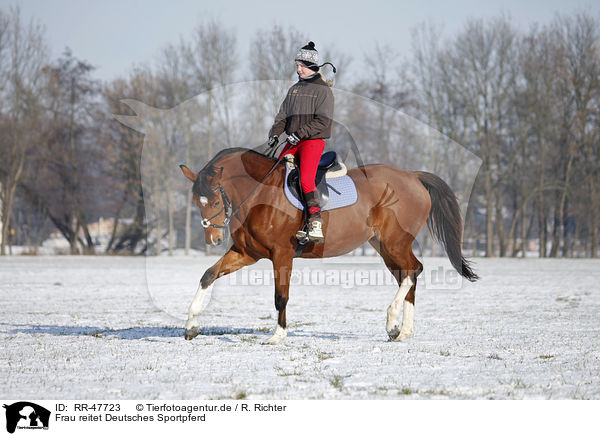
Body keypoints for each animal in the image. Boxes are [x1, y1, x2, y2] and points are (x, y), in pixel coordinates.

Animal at [178, 148, 478, 346]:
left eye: (215, 202)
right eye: (195, 202)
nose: (214, 240)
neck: (261, 193)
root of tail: (413, 176)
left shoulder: (282, 255)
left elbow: (280, 296)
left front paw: (277, 335)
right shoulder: (246, 253)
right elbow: (208, 275)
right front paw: (191, 326)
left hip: (396, 242)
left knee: (414, 270)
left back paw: (392, 321)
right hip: (385, 246)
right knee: (407, 275)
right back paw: (402, 331)